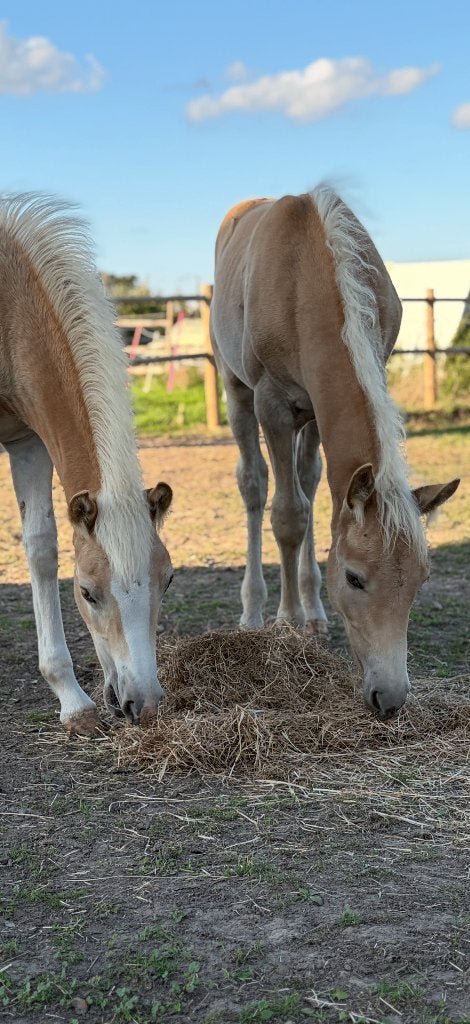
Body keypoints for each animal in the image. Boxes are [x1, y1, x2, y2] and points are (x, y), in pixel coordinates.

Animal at [0, 193, 173, 734]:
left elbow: (40, 547)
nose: (144, 704)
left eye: (168, 579)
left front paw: (73, 702)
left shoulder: (28, 442)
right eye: (88, 592)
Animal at [210, 186, 459, 720]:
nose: (390, 698)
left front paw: (310, 617)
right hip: (237, 390)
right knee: (255, 486)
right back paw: (254, 611)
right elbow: (287, 515)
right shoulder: (272, 404)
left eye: (421, 580)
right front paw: (285, 624)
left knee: (306, 480)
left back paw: (315, 614)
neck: (308, 276)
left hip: (309, 418)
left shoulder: (318, 406)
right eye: (354, 578)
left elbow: (316, 505)